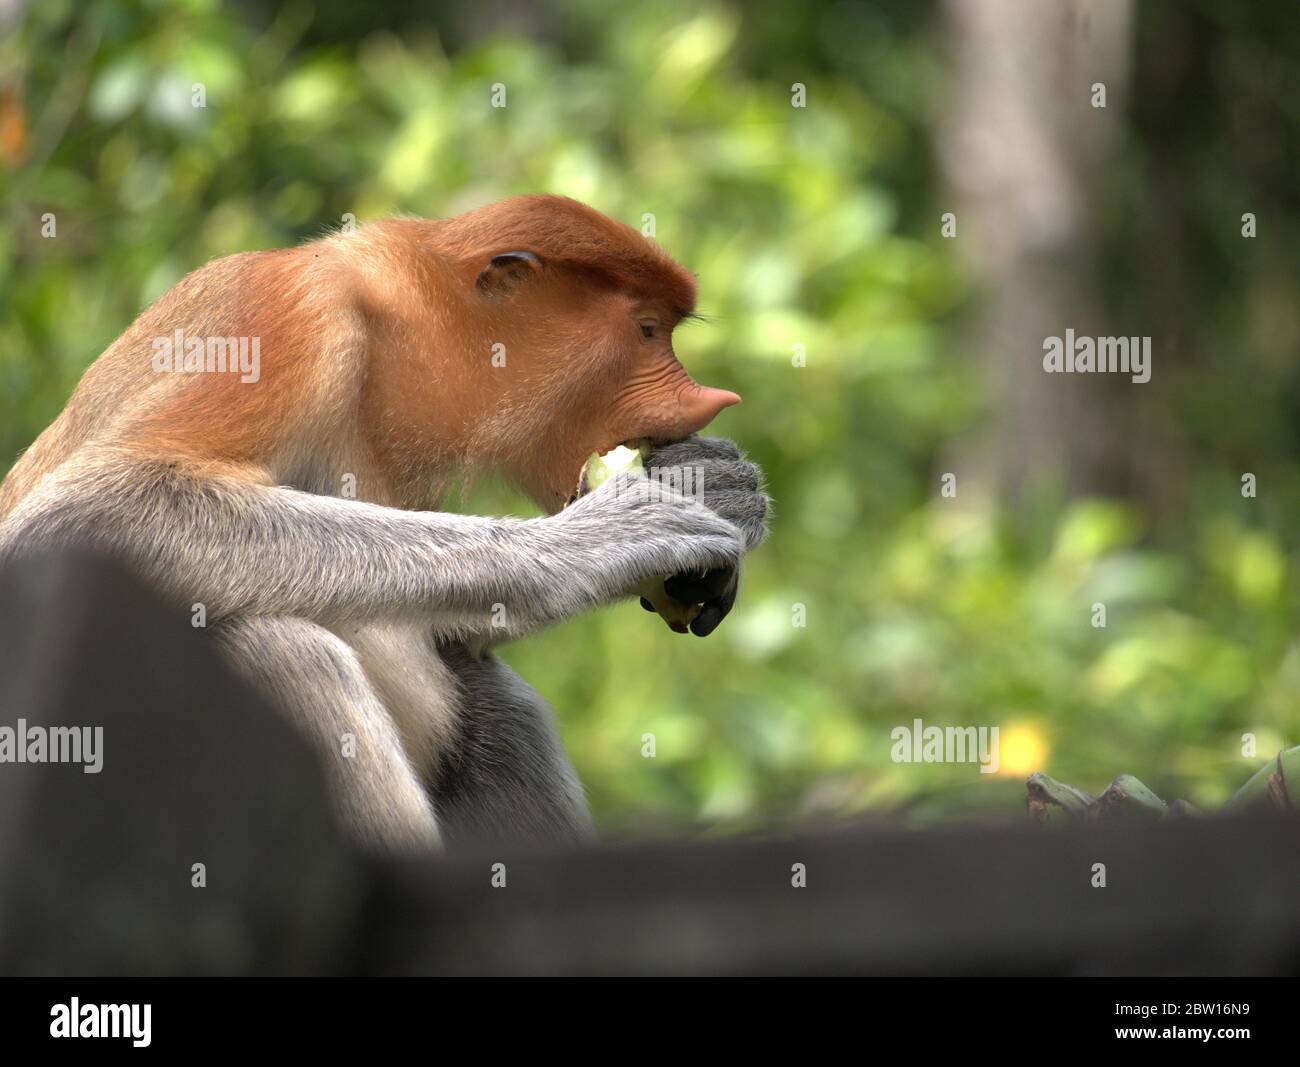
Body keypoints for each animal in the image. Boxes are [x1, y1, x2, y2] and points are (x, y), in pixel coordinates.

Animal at [0, 197, 764, 847]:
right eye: (645, 331)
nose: (709, 402)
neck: (386, 331)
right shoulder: (289, 321)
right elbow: (86, 508)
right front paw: (605, 538)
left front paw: (726, 486)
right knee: (281, 646)